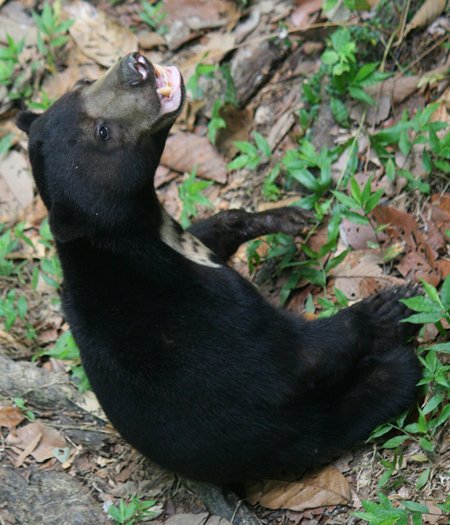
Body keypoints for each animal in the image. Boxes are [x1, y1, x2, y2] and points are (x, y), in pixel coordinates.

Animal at [15, 53, 420, 484]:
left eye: (82, 82)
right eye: (103, 133)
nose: (134, 65)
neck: (140, 230)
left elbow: (214, 231)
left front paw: (286, 217)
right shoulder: (202, 311)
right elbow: (292, 358)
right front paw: (391, 306)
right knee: (369, 387)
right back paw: (394, 367)